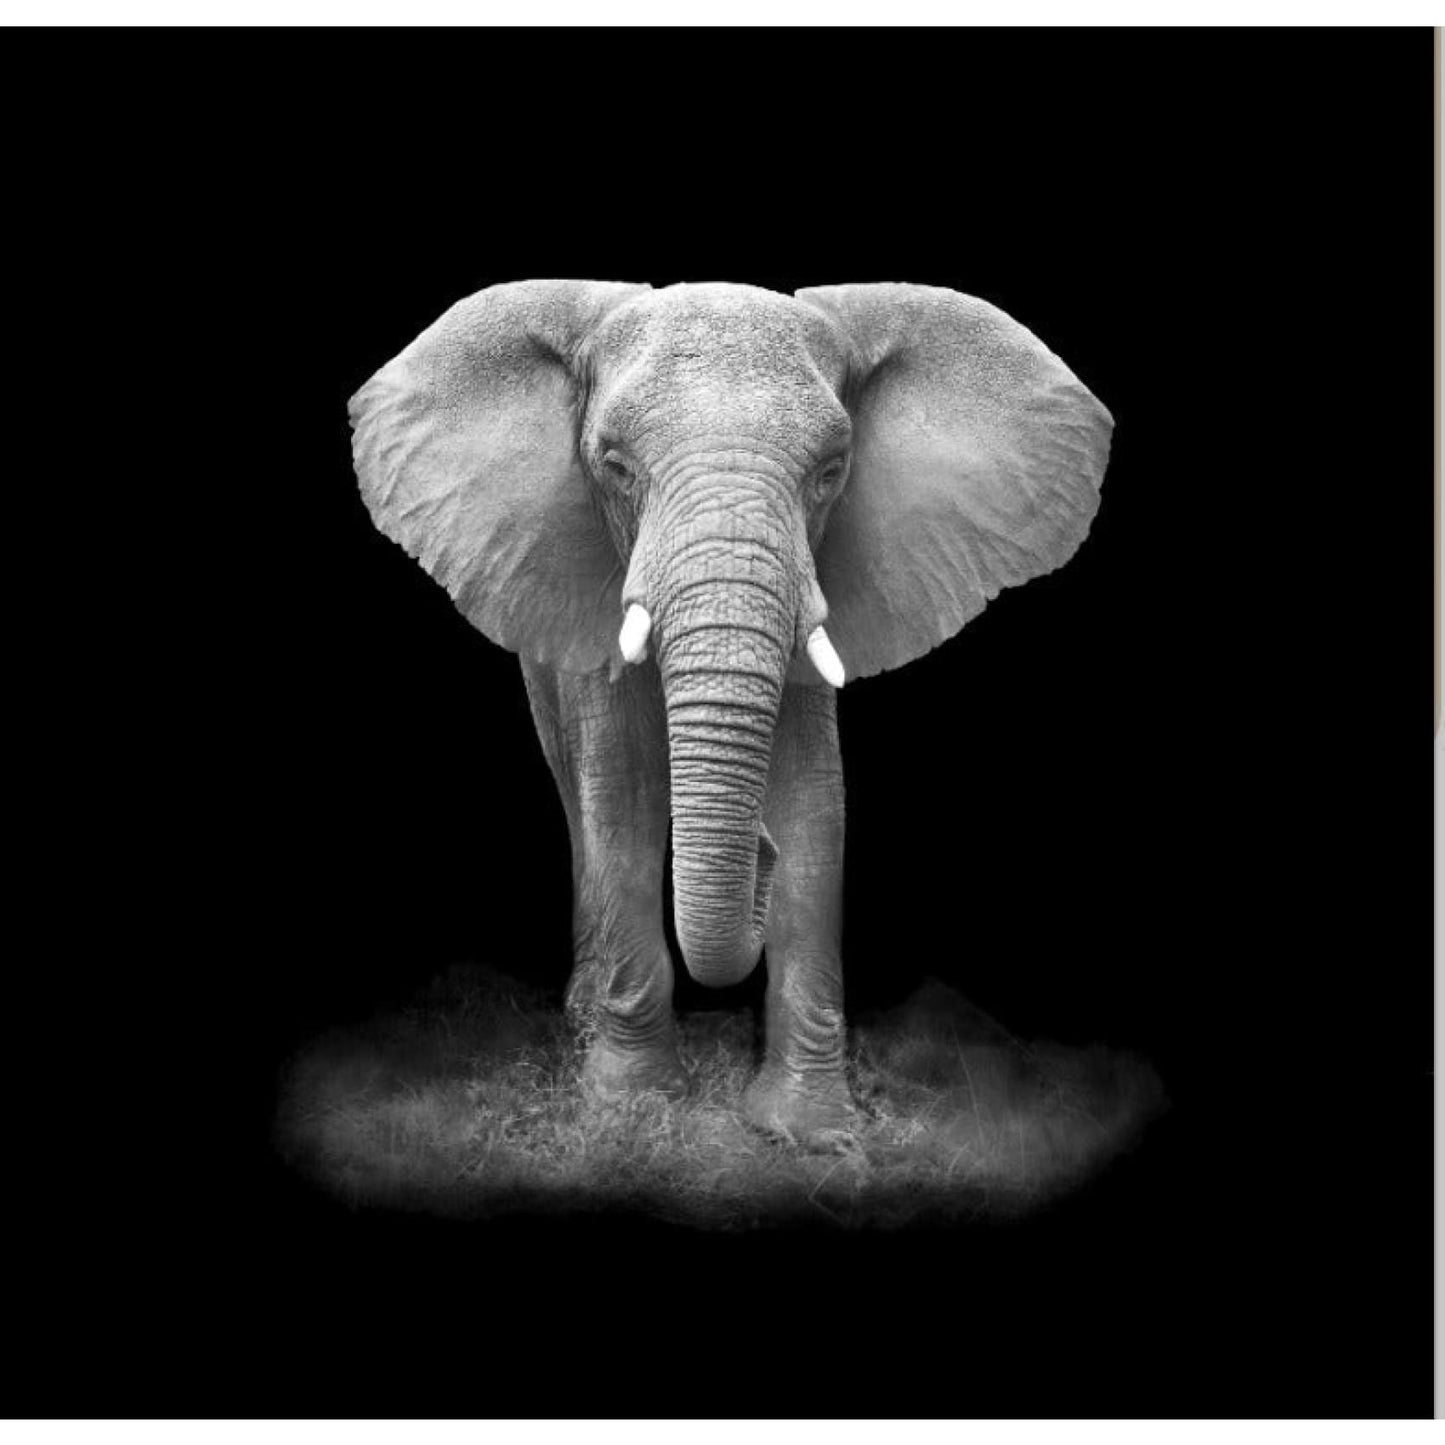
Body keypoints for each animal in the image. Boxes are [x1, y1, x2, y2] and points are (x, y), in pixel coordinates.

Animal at [349, 280, 1112, 1145]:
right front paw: (632, 1106)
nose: (757, 853)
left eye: (830, 470)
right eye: (614, 466)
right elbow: (623, 797)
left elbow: (814, 804)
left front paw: (810, 1131)